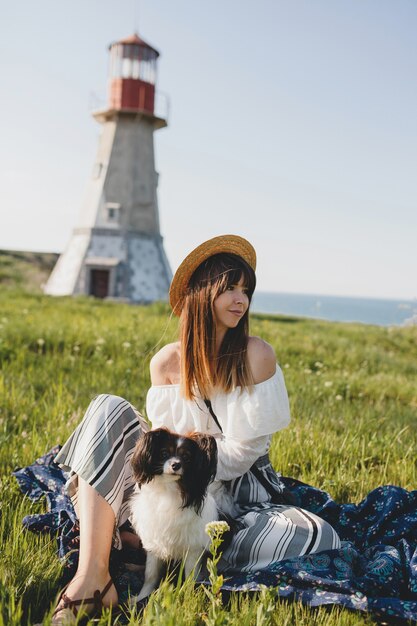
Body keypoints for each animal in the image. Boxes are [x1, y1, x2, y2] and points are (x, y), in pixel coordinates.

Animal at [129, 426, 221, 596]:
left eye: (186, 457)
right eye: (164, 453)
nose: (176, 465)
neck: (169, 488)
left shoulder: (193, 550)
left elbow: (189, 578)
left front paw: (185, 596)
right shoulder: (154, 544)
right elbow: (150, 575)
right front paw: (141, 598)